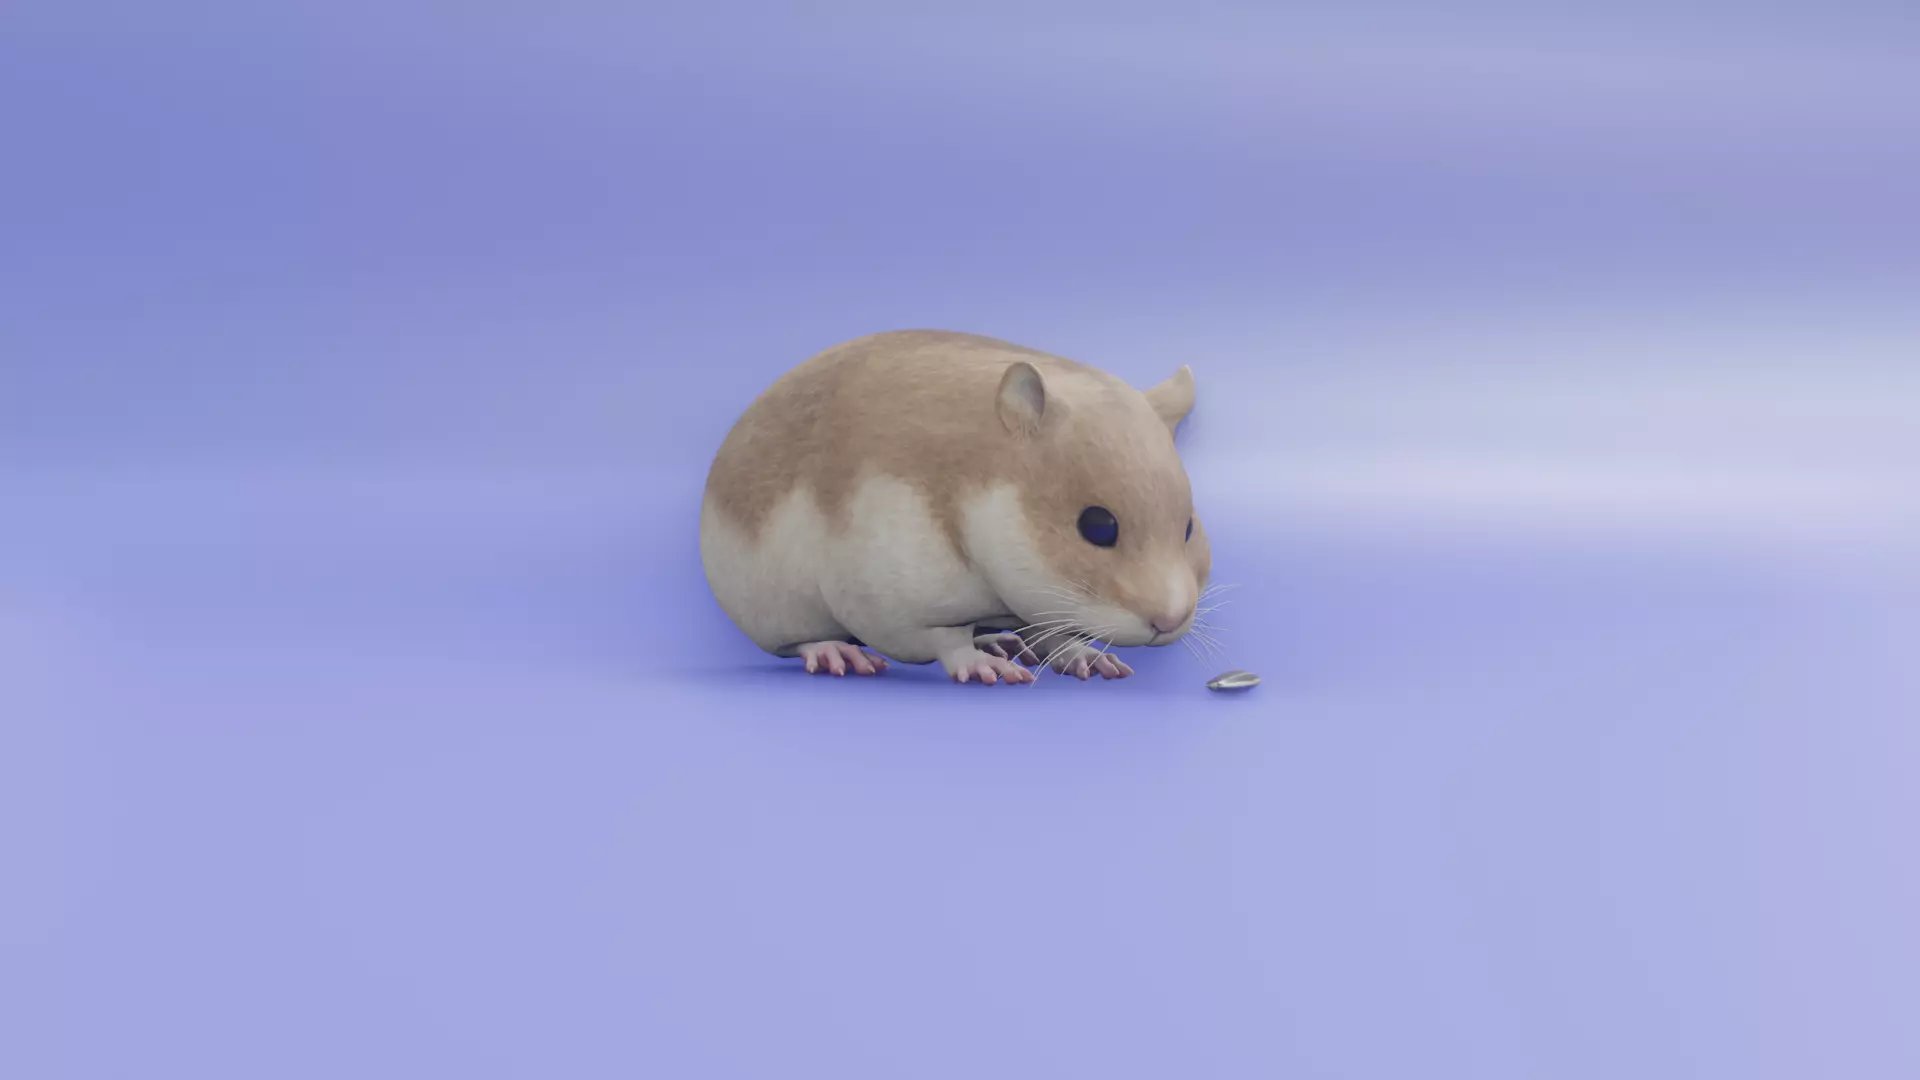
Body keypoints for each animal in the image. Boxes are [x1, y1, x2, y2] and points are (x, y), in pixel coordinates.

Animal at [700, 329, 1210, 685]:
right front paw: (984, 666)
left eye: (1188, 528)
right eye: (1098, 526)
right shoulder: (884, 603)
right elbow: (941, 640)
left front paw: (1084, 654)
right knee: (796, 643)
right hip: (777, 610)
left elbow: (1054, 631)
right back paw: (836, 652)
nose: (1171, 622)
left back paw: (998, 637)